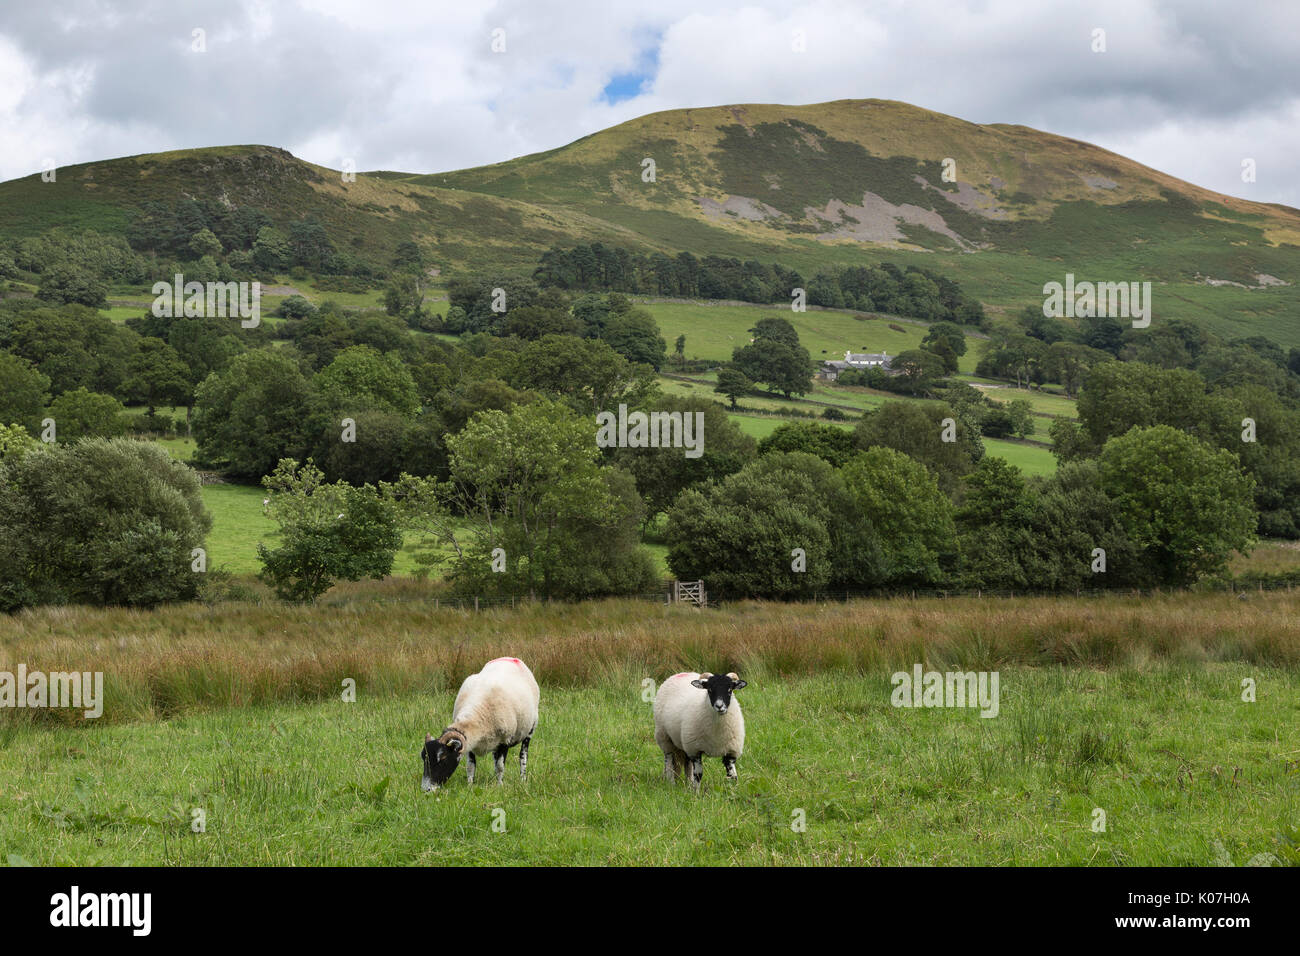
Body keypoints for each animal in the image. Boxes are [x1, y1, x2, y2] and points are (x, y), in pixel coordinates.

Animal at [418, 658, 535, 790]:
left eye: (442, 758)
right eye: (423, 757)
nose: (426, 789)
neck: (477, 714)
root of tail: (510, 658)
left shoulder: (505, 740)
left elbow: (500, 766)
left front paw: (500, 786)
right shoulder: (469, 742)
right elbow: (471, 766)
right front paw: (470, 786)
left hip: (530, 728)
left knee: (523, 755)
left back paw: (523, 779)